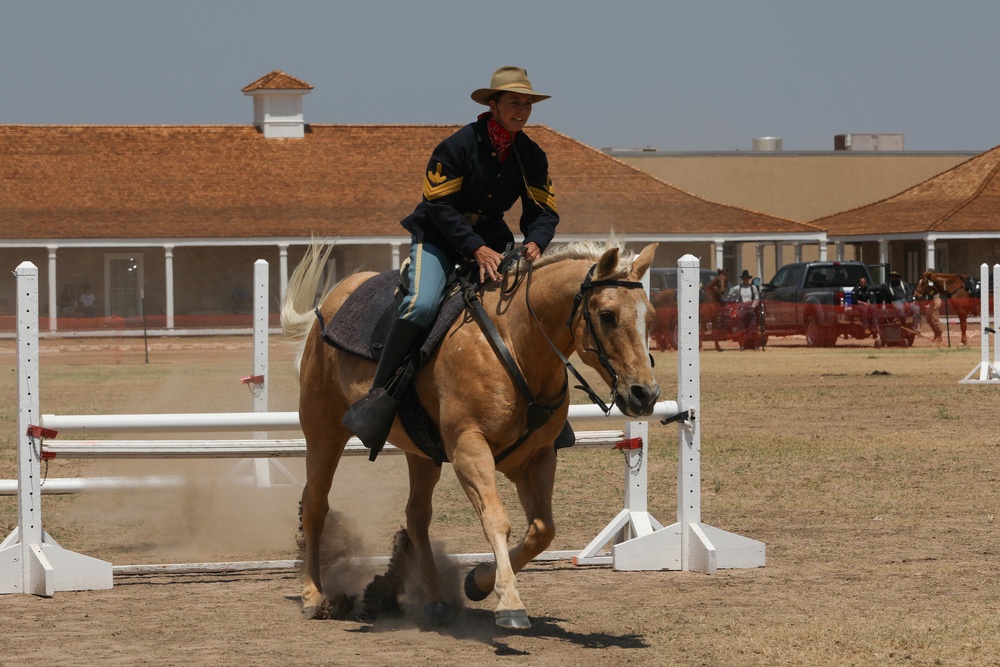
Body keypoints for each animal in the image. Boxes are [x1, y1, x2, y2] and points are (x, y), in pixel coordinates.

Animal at [280, 240, 664, 632]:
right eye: (607, 315)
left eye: (649, 316)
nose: (644, 395)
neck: (516, 343)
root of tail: (333, 299)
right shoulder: (469, 448)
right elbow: (496, 519)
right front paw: (509, 602)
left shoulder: (536, 458)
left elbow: (542, 530)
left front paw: (478, 581)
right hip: (323, 432)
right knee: (315, 504)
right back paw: (314, 597)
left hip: (421, 453)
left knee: (417, 516)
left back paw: (435, 600)